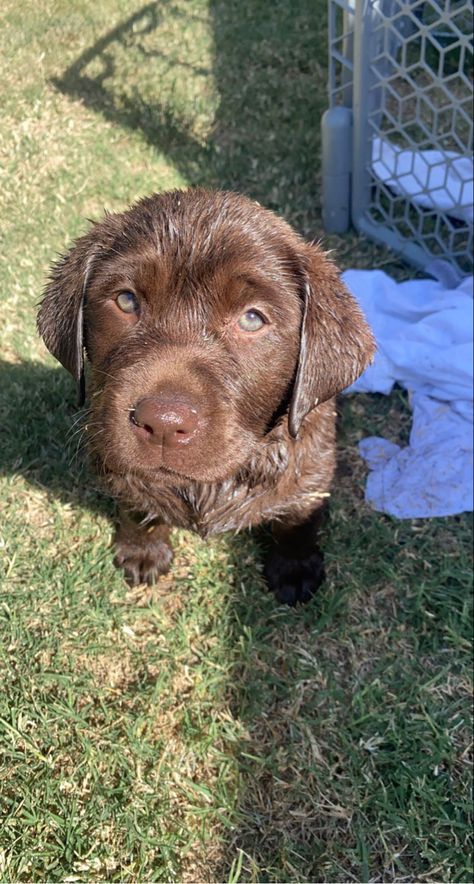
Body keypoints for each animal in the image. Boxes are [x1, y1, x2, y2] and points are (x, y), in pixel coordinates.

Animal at [38, 189, 374, 604]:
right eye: (126, 300)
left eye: (251, 318)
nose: (163, 423)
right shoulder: (115, 464)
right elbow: (137, 505)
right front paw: (143, 550)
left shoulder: (313, 469)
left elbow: (296, 519)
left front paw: (295, 568)